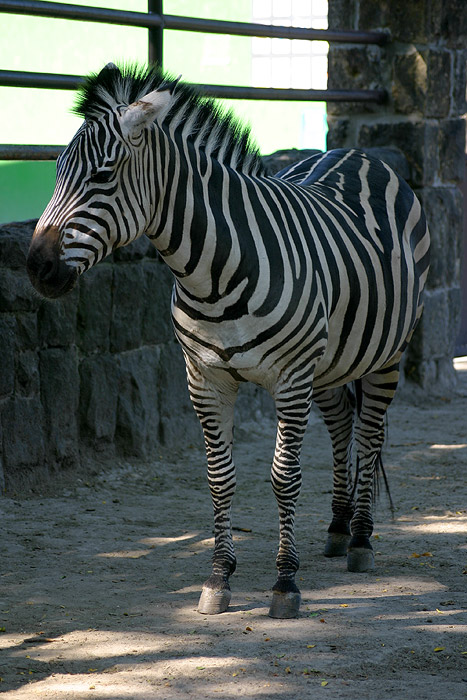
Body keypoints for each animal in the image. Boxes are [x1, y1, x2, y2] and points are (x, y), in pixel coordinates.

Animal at [27, 61, 432, 616]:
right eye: (56, 172)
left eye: (103, 176)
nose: (34, 266)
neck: (213, 274)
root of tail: (359, 154)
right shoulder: (205, 376)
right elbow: (220, 476)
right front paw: (219, 577)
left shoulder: (290, 378)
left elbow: (284, 478)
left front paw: (285, 584)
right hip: (331, 360)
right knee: (343, 424)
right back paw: (336, 528)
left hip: (386, 353)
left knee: (370, 433)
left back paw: (362, 539)